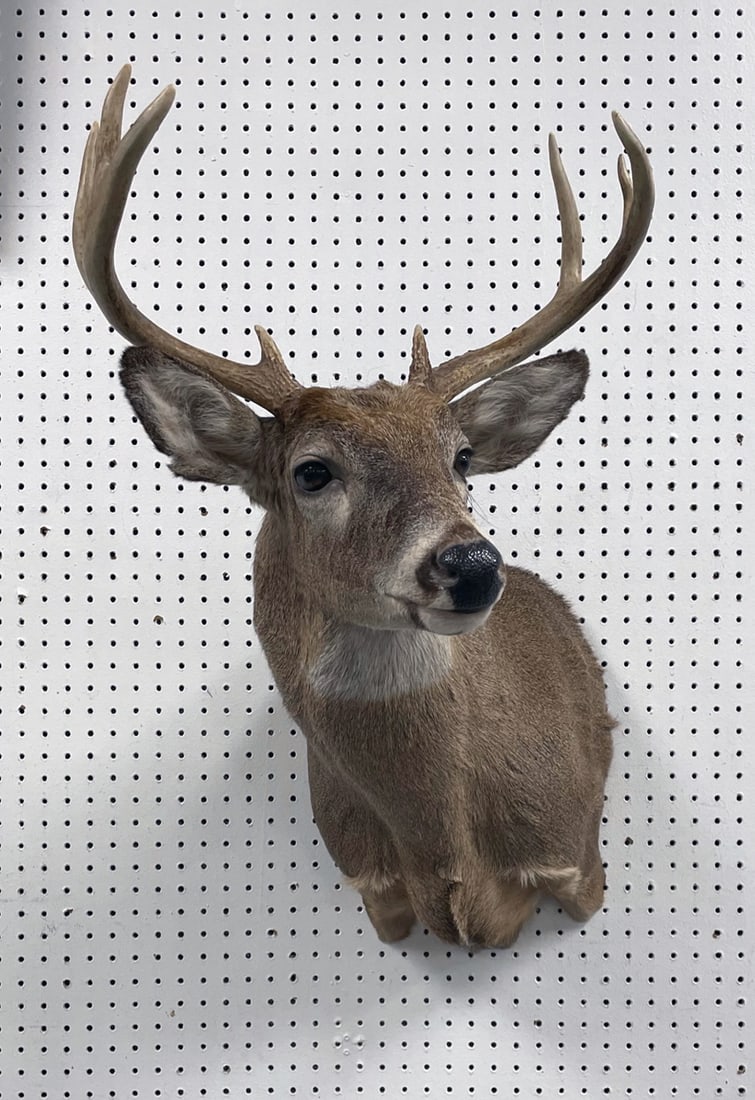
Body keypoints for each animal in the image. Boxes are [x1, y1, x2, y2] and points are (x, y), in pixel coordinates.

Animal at [73, 65, 653, 948]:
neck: (445, 849)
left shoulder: (576, 859)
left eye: (460, 457)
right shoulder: (372, 895)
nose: (470, 563)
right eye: (312, 472)